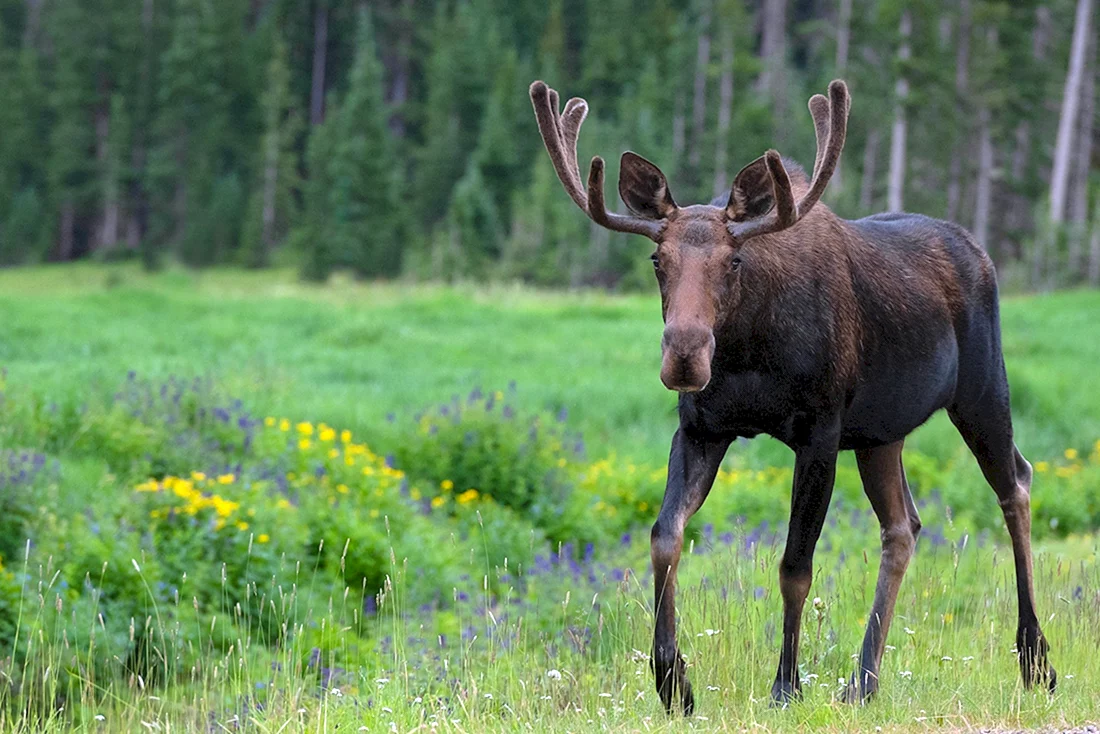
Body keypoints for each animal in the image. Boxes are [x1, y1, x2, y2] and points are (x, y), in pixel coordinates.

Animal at [528, 78, 1056, 713]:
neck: (749, 355)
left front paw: (785, 684)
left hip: (981, 389)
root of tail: (979, 251)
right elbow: (664, 537)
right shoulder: (702, 427)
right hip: (881, 432)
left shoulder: (820, 431)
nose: (684, 355)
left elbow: (794, 567)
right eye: (658, 259)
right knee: (903, 526)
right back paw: (863, 679)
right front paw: (672, 680)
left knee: (1015, 483)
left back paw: (1035, 658)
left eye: (734, 260)